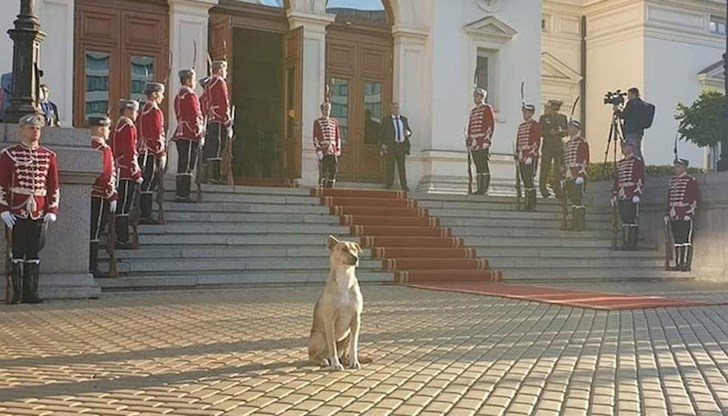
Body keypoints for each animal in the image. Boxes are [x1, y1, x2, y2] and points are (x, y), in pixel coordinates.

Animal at [308, 234, 364, 370]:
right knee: (314, 356)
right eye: (343, 249)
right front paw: (336, 364)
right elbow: (332, 344)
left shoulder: (356, 319)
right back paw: (323, 360)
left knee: (344, 353)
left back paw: (345, 360)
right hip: (319, 336)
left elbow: (354, 346)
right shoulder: (329, 320)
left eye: (355, 249)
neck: (345, 279)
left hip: (348, 334)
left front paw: (354, 362)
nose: (356, 258)